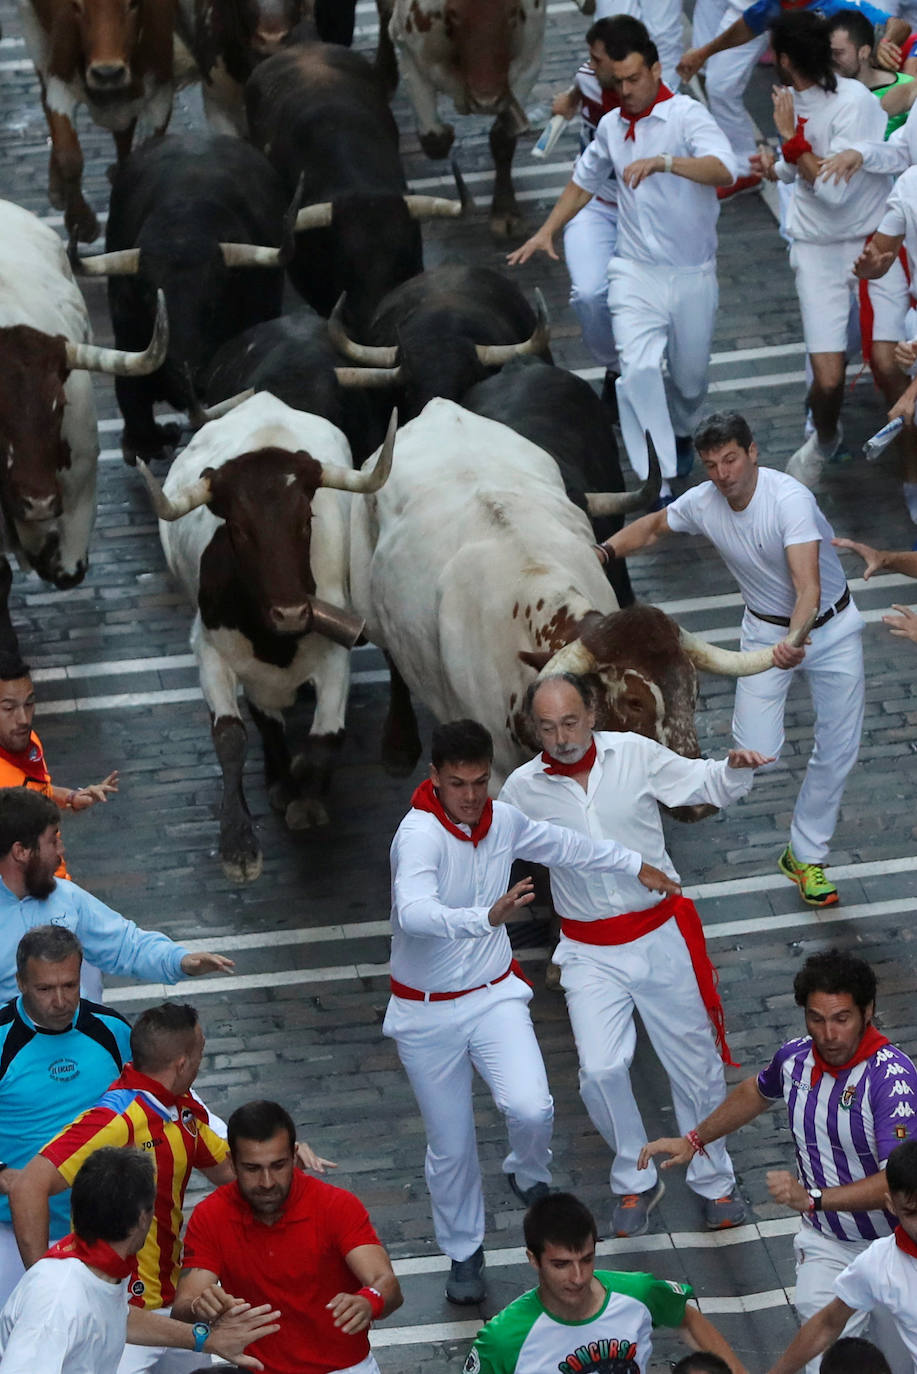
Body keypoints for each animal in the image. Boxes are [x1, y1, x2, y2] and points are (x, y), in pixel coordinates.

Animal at [18, 0, 177, 241]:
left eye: (134, 3)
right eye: (76, 5)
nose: (107, 73)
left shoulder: (161, 93)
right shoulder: (60, 81)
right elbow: (69, 156)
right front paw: (81, 221)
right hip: (32, 26)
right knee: (43, 96)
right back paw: (58, 189)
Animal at [138, 390, 395, 879]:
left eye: (306, 519)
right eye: (238, 529)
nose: (291, 612)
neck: (277, 641)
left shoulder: (335, 653)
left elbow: (325, 739)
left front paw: (307, 797)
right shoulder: (211, 653)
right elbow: (231, 736)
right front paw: (239, 843)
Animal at [376, 0, 591, 230]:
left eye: (512, 13)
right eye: (454, 14)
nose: (486, 101)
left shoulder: (528, 63)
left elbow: (503, 138)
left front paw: (505, 212)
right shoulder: (412, 57)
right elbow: (435, 140)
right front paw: (447, 133)